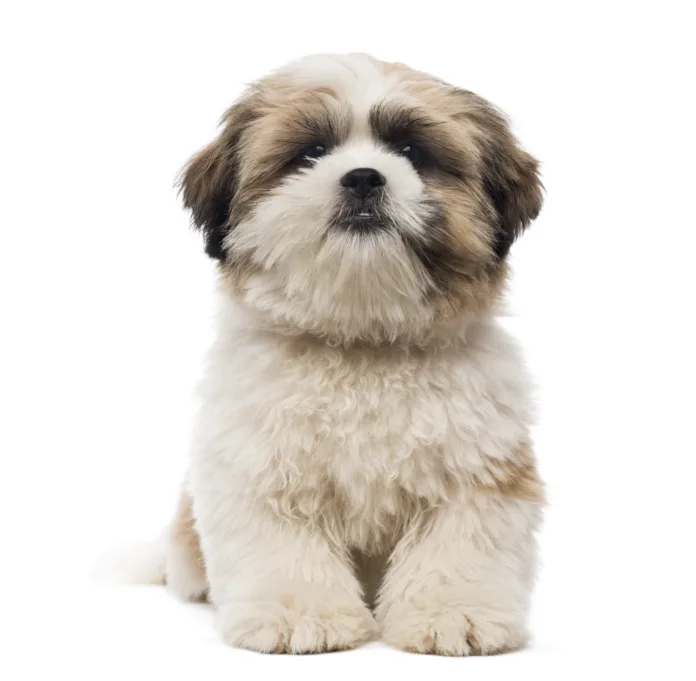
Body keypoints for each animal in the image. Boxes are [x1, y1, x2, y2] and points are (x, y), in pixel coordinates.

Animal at [162, 51, 544, 652]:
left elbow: (460, 542)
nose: (364, 177)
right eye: (311, 152)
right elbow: (284, 544)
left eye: (412, 151)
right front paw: (298, 613)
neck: (363, 340)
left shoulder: (480, 469)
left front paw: (455, 611)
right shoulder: (260, 469)